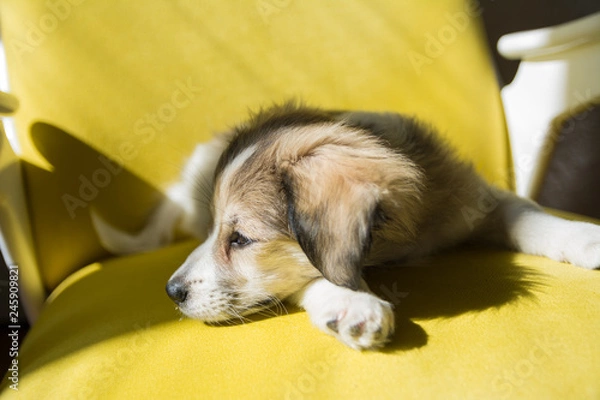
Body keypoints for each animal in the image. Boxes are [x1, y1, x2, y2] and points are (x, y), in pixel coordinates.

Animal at [92, 102, 600, 350]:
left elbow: (530, 217)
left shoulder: (477, 199)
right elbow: (316, 278)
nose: (171, 292)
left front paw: (582, 237)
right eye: (221, 232)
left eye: (240, 239)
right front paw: (351, 304)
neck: (401, 242)